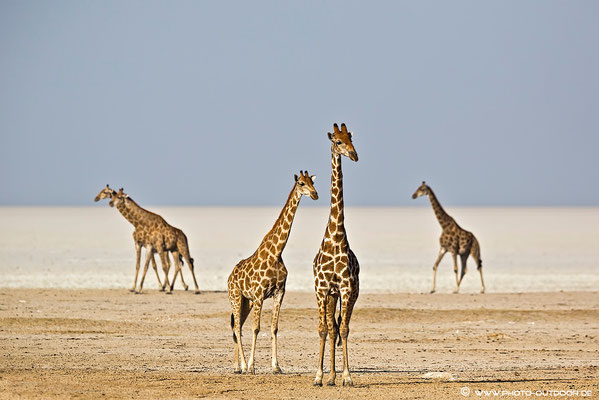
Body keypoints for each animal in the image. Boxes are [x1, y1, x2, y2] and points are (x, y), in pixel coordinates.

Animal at [227, 171, 318, 376]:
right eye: (301, 183)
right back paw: (243, 366)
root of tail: (229, 277)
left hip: (246, 301)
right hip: (236, 297)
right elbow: (256, 328)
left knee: (238, 327)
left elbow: (274, 328)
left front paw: (276, 367)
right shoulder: (259, 294)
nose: (315, 194)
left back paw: (237, 367)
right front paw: (252, 366)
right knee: (237, 327)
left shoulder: (279, 292)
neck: (276, 253)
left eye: (312, 182)